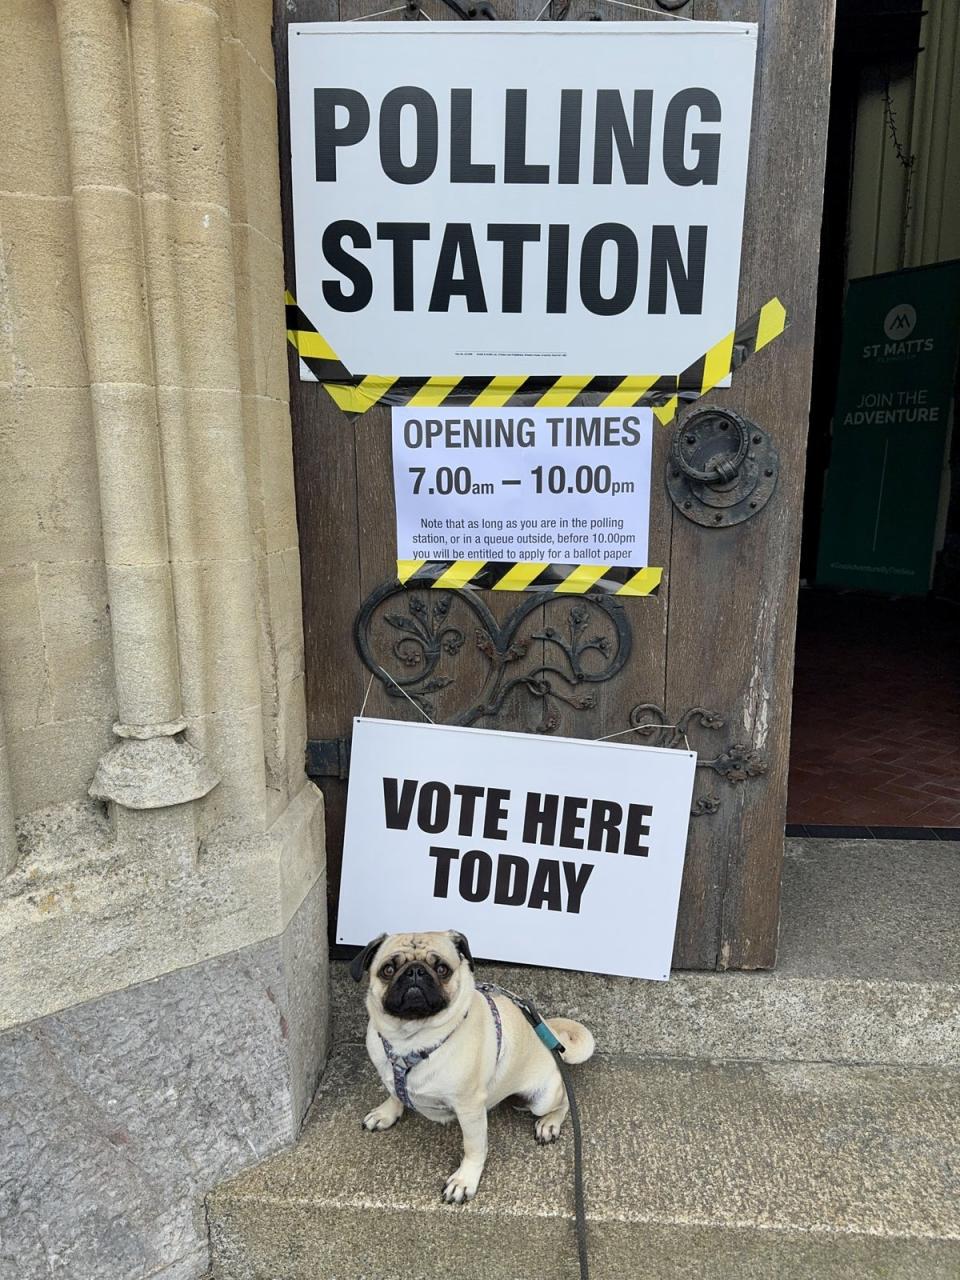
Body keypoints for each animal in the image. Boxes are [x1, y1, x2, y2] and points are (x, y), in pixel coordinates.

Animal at [353, 931, 593, 1198]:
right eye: (388, 969)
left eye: (442, 969)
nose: (415, 971)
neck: (412, 1040)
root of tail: (551, 1032)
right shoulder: (390, 1076)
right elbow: (395, 1094)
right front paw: (385, 1113)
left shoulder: (469, 1108)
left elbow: (474, 1147)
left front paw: (464, 1180)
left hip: (543, 1099)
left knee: (565, 1102)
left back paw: (549, 1124)